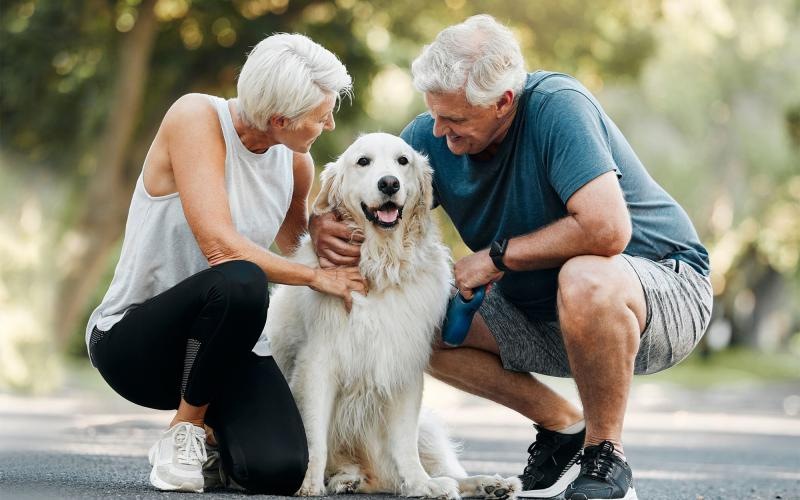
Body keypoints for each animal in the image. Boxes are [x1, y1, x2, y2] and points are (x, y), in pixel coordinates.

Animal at [260, 134, 520, 500]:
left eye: (402, 161)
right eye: (363, 162)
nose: (389, 184)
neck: (381, 266)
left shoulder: (403, 364)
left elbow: (404, 445)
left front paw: (421, 484)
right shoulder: (318, 364)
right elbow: (313, 435)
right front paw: (309, 484)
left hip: (426, 430)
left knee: (442, 472)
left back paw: (486, 483)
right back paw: (345, 479)